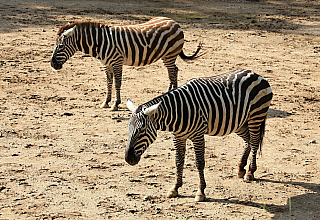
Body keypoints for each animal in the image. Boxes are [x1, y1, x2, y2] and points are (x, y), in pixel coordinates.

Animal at [50, 16, 201, 111]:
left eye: (61, 46)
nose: (52, 64)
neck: (100, 42)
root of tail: (174, 22)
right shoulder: (106, 64)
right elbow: (109, 82)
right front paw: (106, 102)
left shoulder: (117, 61)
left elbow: (117, 82)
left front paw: (115, 104)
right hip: (167, 56)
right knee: (174, 71)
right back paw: (171, 92)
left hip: (170, 54)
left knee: (173, 72)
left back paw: (172, 93)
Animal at [125, 69, 272, 202]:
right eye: (128, 128)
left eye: (142, 130)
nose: (128, 159)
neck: (178, 111)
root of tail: (255, 74)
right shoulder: (178, 137)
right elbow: (178, 162)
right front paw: (175, 188)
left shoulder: (198, 136)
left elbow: (199, 163)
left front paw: (200, 192)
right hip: (239, 123)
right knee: (248, 141)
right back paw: (241, 168)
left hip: (256, 116)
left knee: (254, 142)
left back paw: (250, 172)